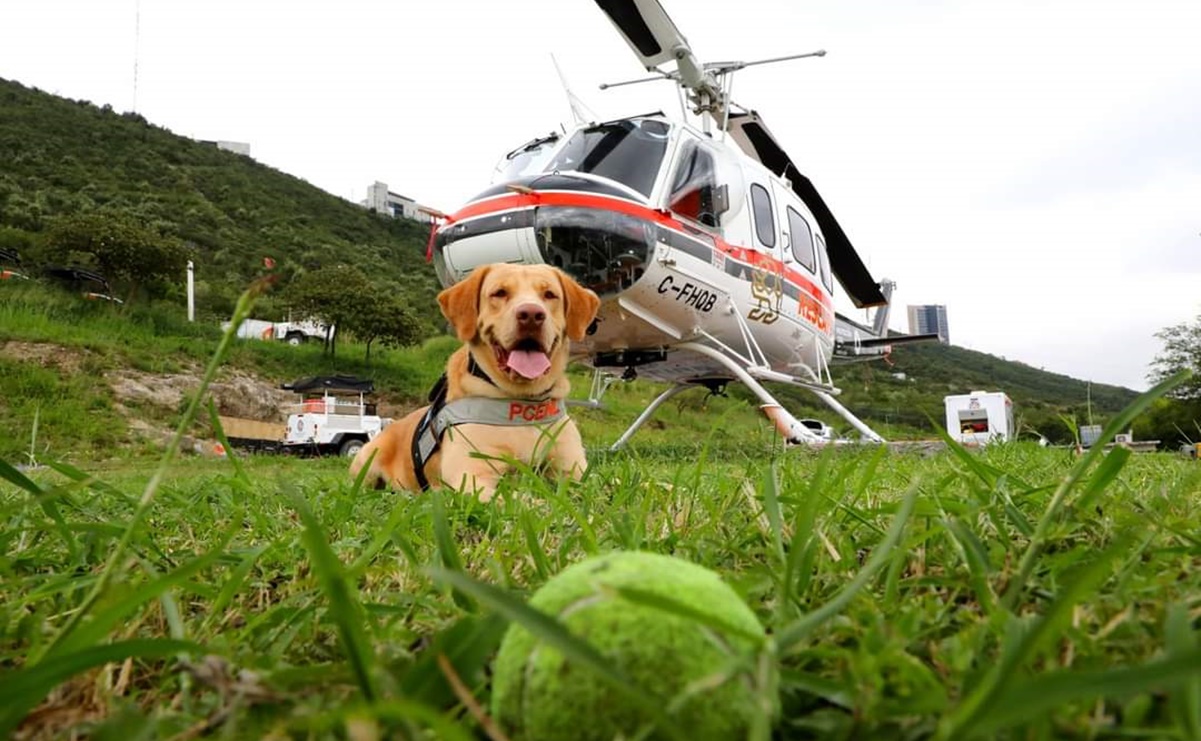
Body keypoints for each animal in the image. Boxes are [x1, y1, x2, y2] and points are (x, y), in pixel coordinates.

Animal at [350, 263, 605, 499]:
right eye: (500, 293)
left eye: (550, 294)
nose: (532, 315)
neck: (522, 401)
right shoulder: (470, 476)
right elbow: (524, 500)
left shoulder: (575, 469)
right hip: (366, 459)